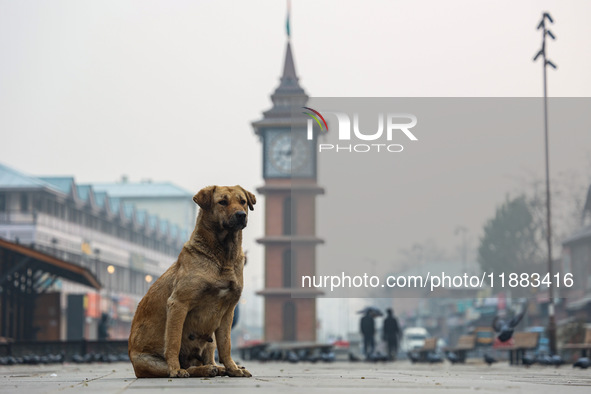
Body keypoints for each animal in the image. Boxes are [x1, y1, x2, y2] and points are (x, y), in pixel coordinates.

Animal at [128, 185, 256, 378]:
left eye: (243, 201)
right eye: (222, 202)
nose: (241, 215)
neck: (222, 257)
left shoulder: (228, 311)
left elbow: (226, 345)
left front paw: (232, 368)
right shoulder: (178, 304)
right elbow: (173, 341)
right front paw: (175, 369)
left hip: (210, 335)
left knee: (209, 356)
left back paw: (217, 368)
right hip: (148, 360)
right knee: (184, 366)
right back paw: (197, 369)